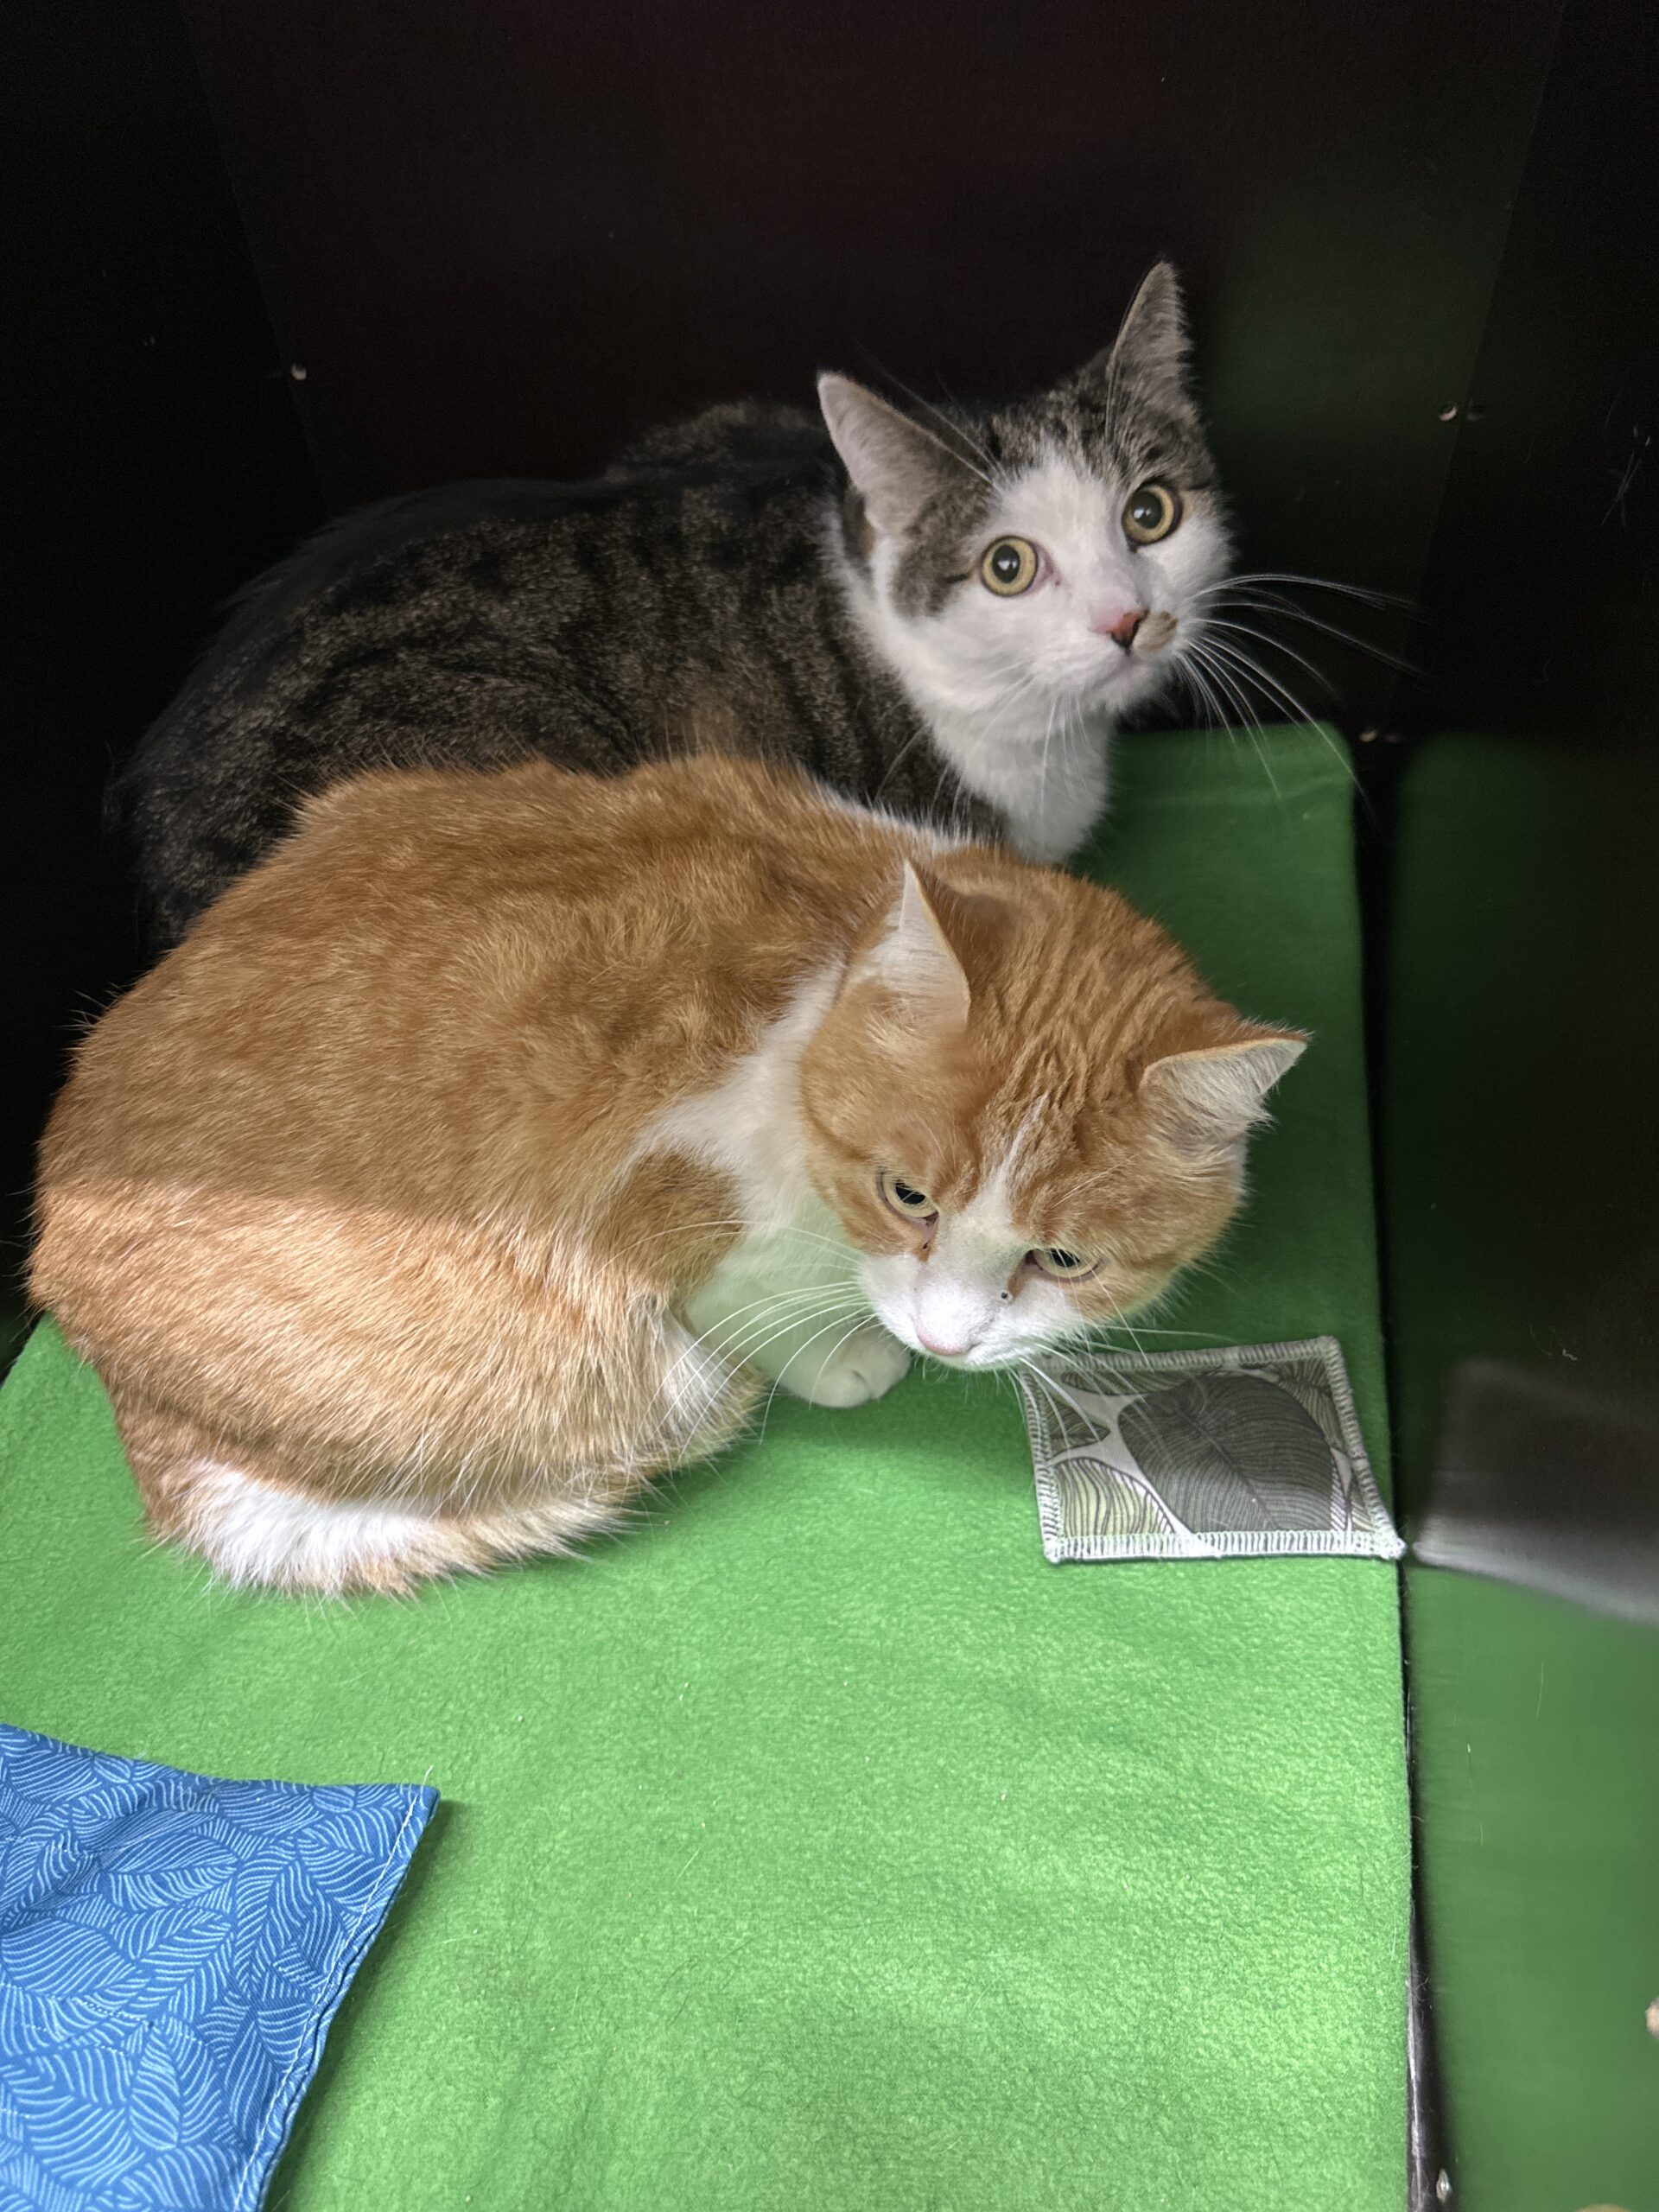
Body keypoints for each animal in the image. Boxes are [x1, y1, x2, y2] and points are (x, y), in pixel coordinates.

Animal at [35, 747, 1301, 1598]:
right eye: (908, 1197)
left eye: (1062, 1258)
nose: (947, 1343)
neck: (825, 971)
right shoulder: (671, 1222)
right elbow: (755, 1318)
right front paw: (846, 1357)